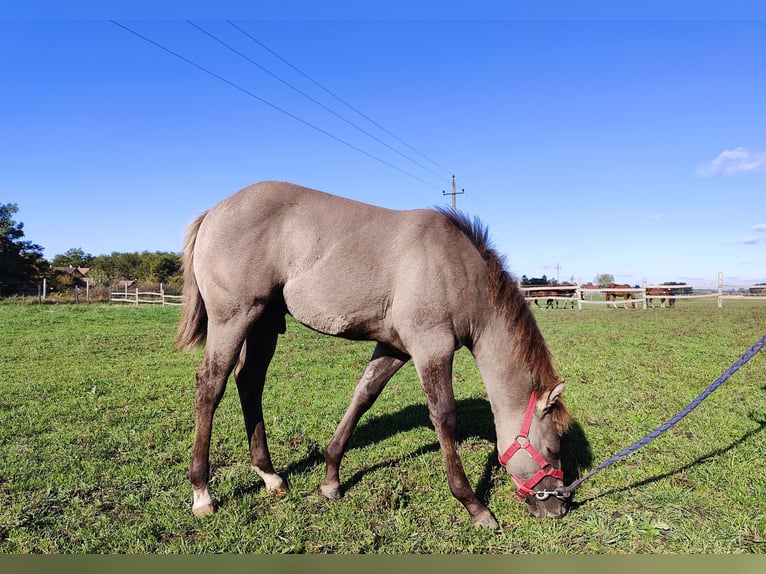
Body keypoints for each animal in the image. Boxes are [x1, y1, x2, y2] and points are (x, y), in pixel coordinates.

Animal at [177, 182, 572, 528]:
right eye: (553, 449)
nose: (559, 507)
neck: (458, 269)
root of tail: (214, 211)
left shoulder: (395, 348)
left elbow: (363, 397)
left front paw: (331, 480)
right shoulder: (432, 347)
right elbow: (444, 417)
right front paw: (474, 506)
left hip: (264, 324)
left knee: (249, 382)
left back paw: (270, 476)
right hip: (234, 319)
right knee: (210, 385)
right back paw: (202, 494)